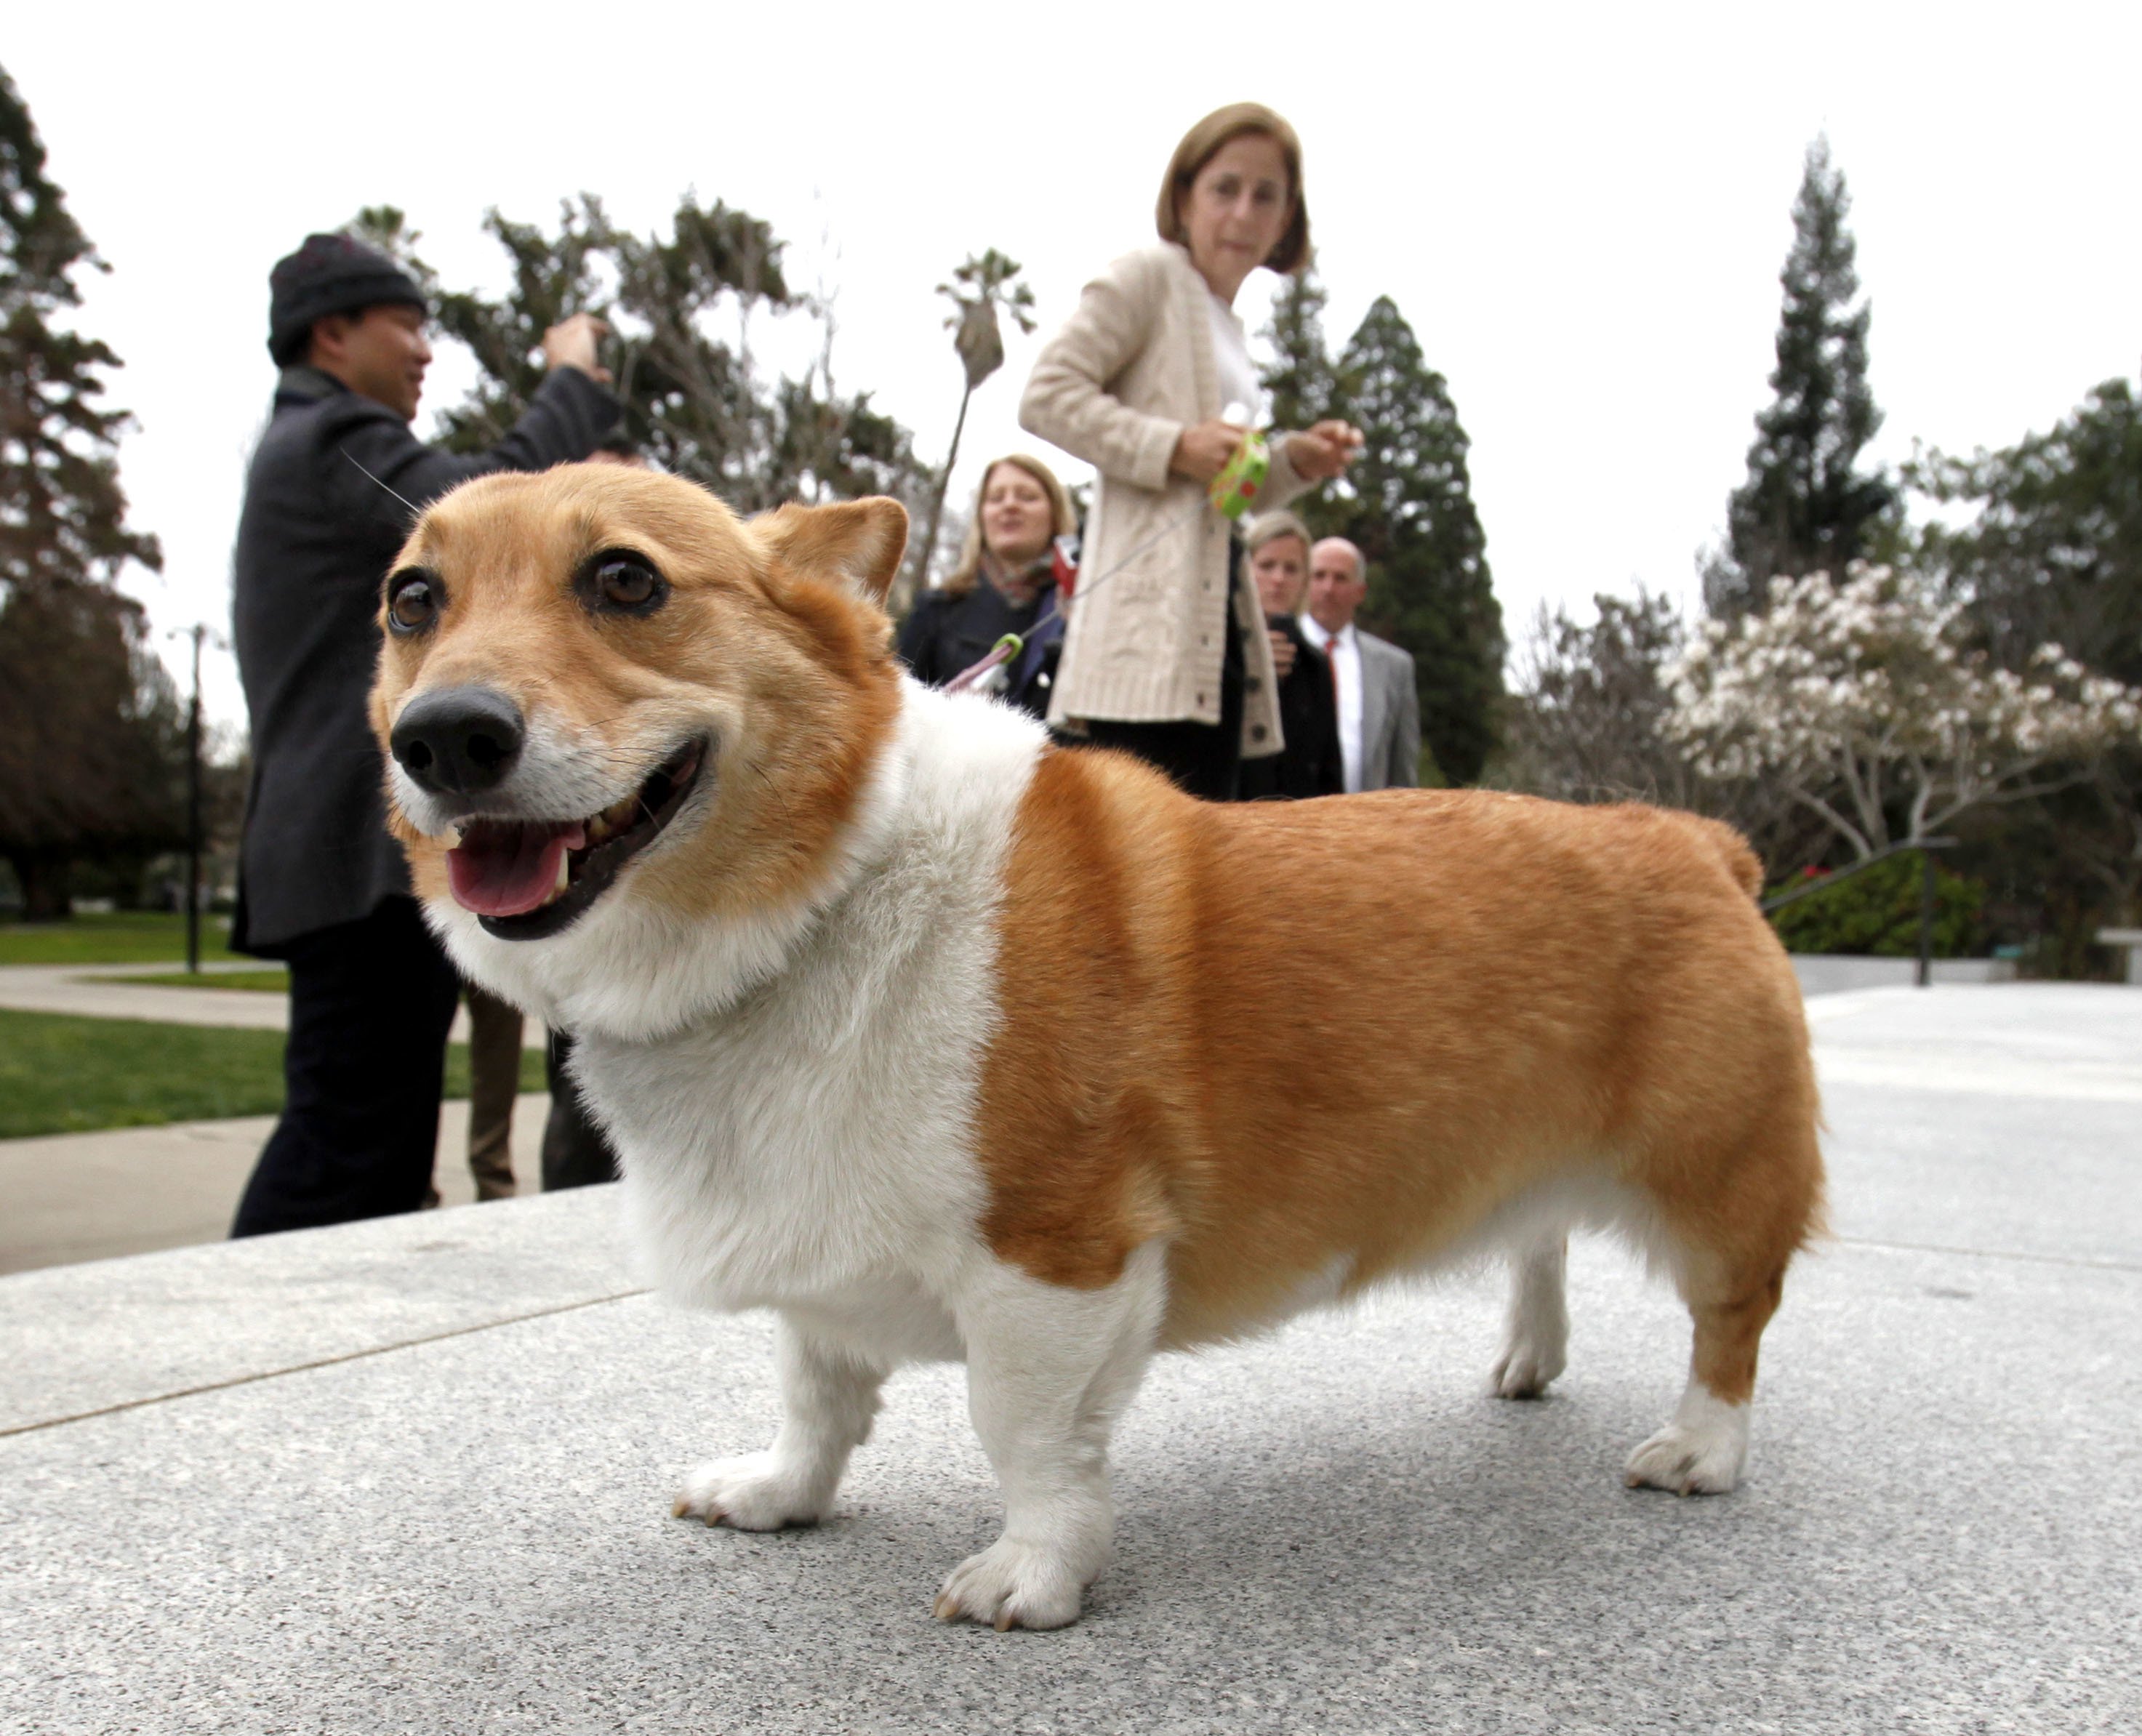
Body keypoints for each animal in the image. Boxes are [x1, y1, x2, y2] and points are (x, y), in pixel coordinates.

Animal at [368, 462, 1824, 1626]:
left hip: (1714, 1172)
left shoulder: (1052, 1257)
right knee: (1538, 1236)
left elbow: (1024, 1435)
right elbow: (815, 1393)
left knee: (1731, 1320)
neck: (822, 896)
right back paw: (1528, 1358)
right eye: (409, 600)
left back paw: (1700, 1450)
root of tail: (1698, 838)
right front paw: (778, 1494)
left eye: (625, 579)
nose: (443, 737)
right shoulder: (822, 1243)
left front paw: (1033, 1576)